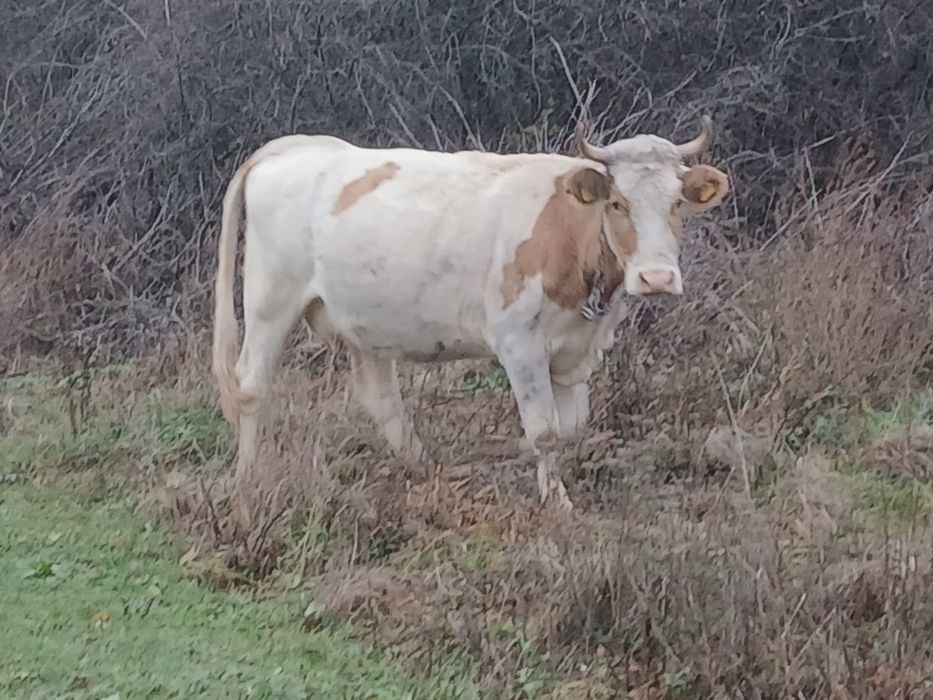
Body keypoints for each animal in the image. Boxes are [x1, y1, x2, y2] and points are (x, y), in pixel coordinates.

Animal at [212, 118, 730, 509]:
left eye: (677, 203)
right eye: (618, 202)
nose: (657, 278)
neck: (571, 236)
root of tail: (293, 147)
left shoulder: (578, 350)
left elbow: (570, 427)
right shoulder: (519, 342)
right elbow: (543, 431)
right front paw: (557, 502)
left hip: (361, 320)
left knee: (380, 397)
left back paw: (422, 467)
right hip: (270, 298)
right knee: (251, 386)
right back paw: (247, 479)